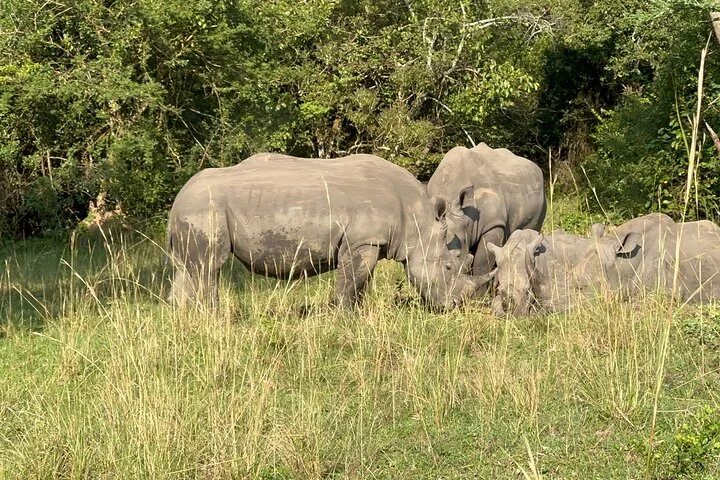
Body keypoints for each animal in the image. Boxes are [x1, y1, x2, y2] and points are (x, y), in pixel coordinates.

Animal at [167, 153, 495, 310]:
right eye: (449, 267)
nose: (453, 306)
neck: (419, 221)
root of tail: (176, 202)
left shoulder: (369, 243)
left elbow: (361, 283)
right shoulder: (362, 241)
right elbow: (350, 283)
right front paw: (345, 317)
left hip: (194, 212)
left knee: (187, 268)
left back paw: (185, 321)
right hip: (205, 209)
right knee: (210, 267)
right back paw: (214, 319)